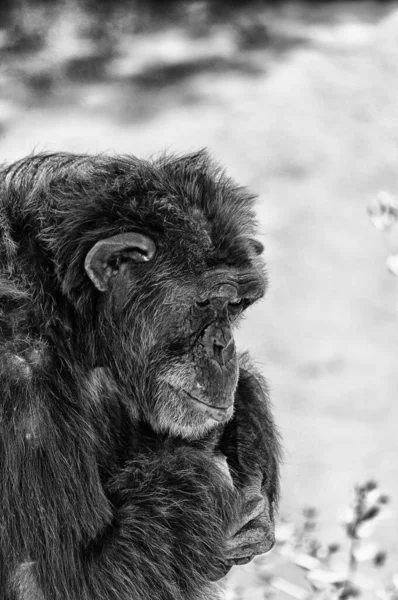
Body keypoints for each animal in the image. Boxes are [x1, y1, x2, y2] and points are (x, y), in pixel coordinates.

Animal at [0, 151, 280, 600]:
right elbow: (53, 581)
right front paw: (211, 479)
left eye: (236, 305)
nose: (224, 347)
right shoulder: (17, 387)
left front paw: (249, 419)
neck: (71, 320)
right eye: (206, 303)